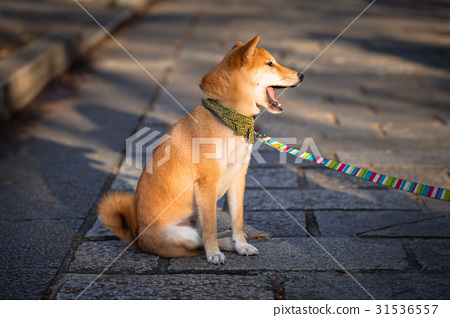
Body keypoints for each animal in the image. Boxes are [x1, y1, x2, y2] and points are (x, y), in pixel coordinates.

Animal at [98, 34, 302, 264]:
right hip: (181, 234)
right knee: (201, 238)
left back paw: (229, 238)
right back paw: (219, 247)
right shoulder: (207, 184)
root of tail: (137, 238)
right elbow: (211, 227)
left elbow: (238, 220)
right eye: (270, 64)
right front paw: (214, 254)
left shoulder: (238, 178)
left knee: (207, 233)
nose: (301, 75)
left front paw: (241, 245)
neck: (228, 120)